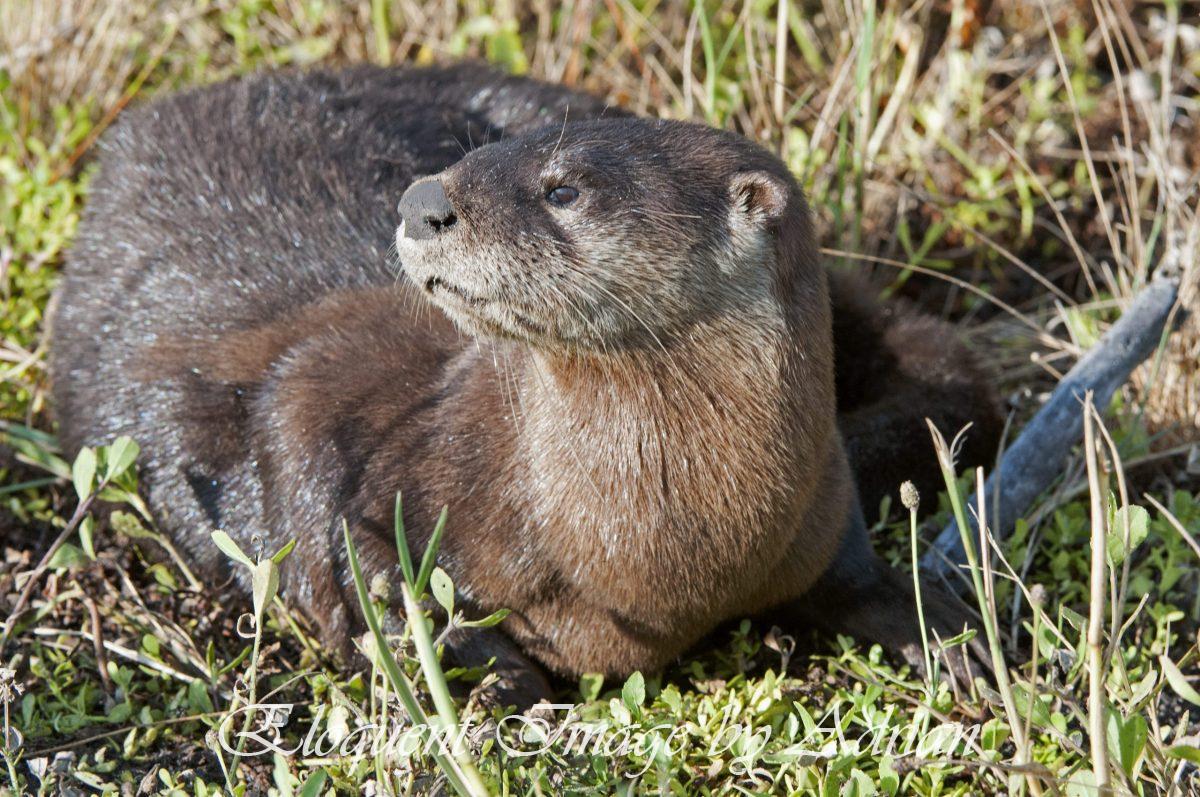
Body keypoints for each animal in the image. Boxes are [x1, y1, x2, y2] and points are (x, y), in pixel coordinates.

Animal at [50, 65, 999, 707]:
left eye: (563, 189)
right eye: (469, 157)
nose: (421, 198)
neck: (668, 557)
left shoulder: (819, 505)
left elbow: (864, 582)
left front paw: (961, 637)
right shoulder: (350, 434)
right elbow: (336, 537)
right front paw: (494, 679)